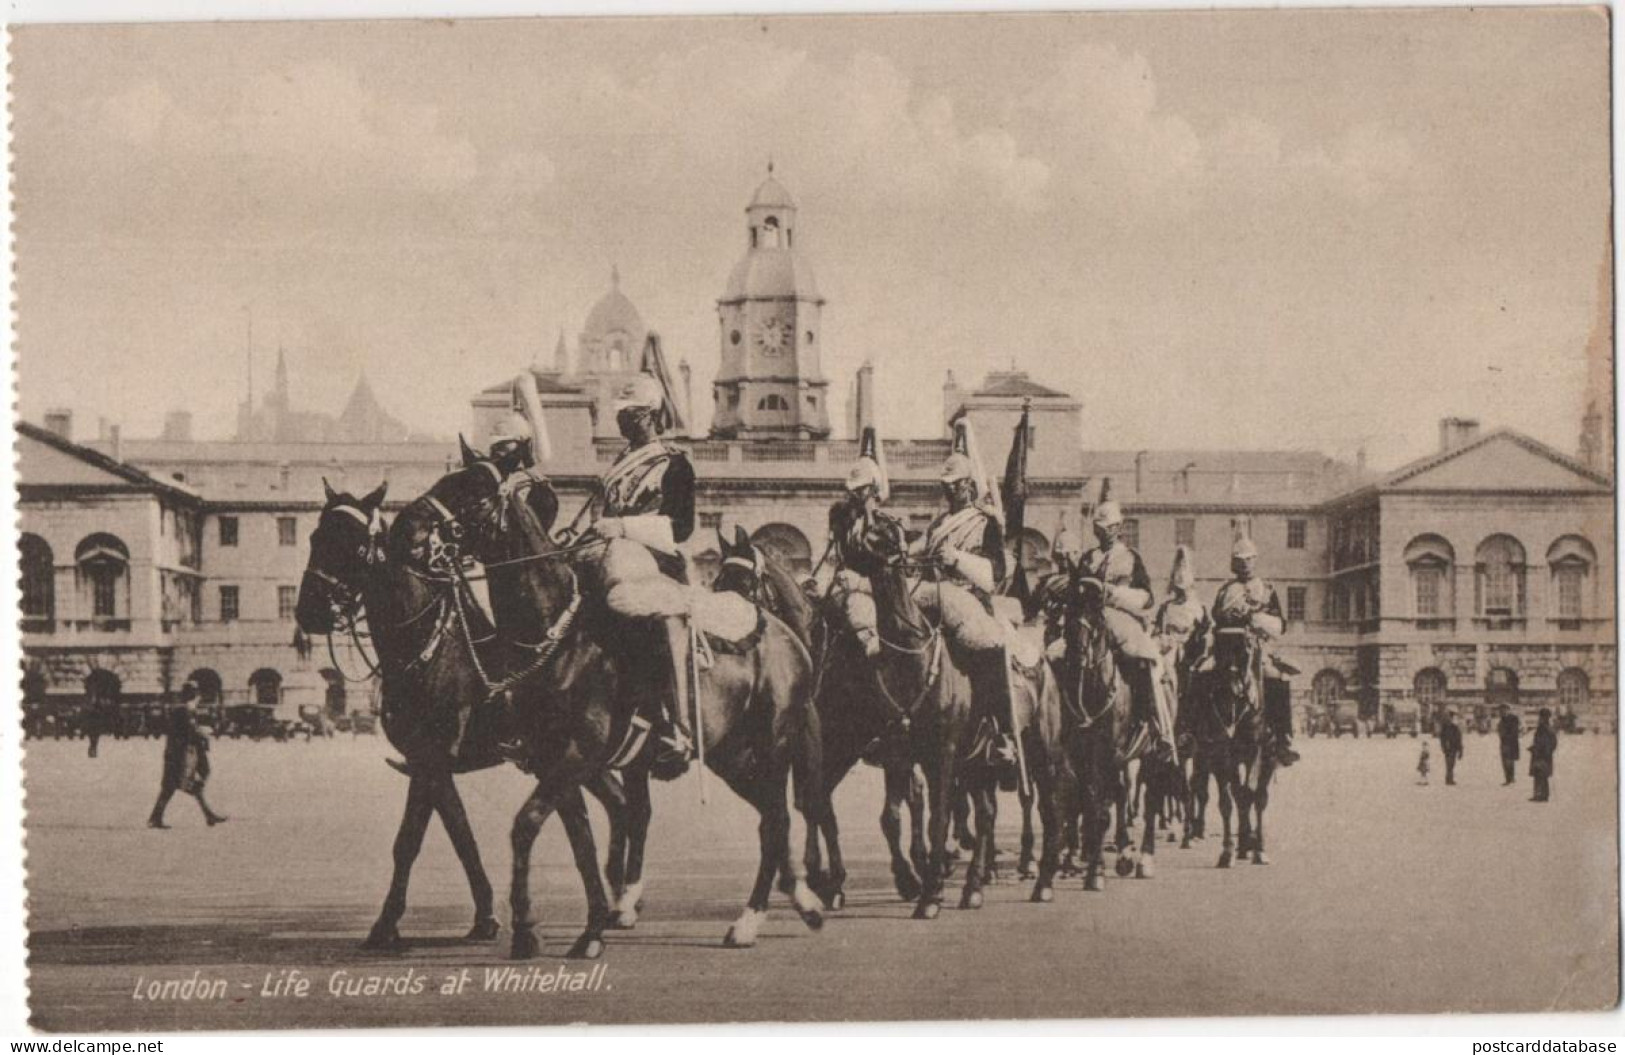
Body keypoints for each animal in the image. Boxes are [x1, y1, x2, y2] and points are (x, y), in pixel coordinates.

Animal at [292, 481, 620, 949]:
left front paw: (388, 923)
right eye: (315, 537)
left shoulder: (432, 756)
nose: (309, 612)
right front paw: (483, 917)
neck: (426, 644)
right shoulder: (424, 761)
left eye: (352, 543)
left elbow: (413, 838)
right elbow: (457, 833)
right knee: (612, 805)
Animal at [429, 455, 832, 949]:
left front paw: (530, 927)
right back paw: (802, 900)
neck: (561, 637)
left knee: (774, 818)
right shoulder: (554, 761)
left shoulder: (578, 754)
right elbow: (579, 839)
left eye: (470, 494)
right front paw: (593, 925)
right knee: (773, 818)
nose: (420, 541)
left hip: (771, 746)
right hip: (731, 755)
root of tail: (788, 636)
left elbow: (527, 824)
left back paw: (750, 920)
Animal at [711, 526, 929, 903]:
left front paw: (903, 877)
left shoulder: (870, 742)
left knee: (911, 797)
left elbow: (877, 813)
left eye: (743, 581)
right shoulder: (814, 747)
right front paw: (825, 876)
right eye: (716, 581)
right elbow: (815, 805)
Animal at [1189, 624, 1274, 864]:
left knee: (1257, 797)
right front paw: (1227, 851)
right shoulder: (1220, 755)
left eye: (1246, 646)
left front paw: (1257, 848)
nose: (1233, 689)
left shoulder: (1256, 750)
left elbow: (1251, 794)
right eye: (1219, 647)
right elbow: (1227, 801)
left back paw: (1254, 843)